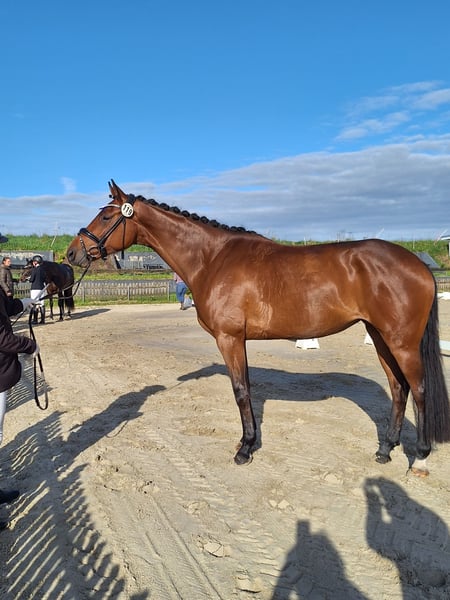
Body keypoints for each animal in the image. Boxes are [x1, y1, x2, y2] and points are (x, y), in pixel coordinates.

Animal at [66, 180, 450, 475]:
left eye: (105, 216)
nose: (71, 254)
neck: (212, 259)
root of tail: (418, 264)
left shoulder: (230, 339)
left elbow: (240, 391)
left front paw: (245, 449)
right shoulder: (240, 341)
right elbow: (247, 388)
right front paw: (247, 441)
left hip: (401, 341)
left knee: (418, 389)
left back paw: (419, 457)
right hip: (379, 336)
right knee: (398, 388)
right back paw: (385, 449)